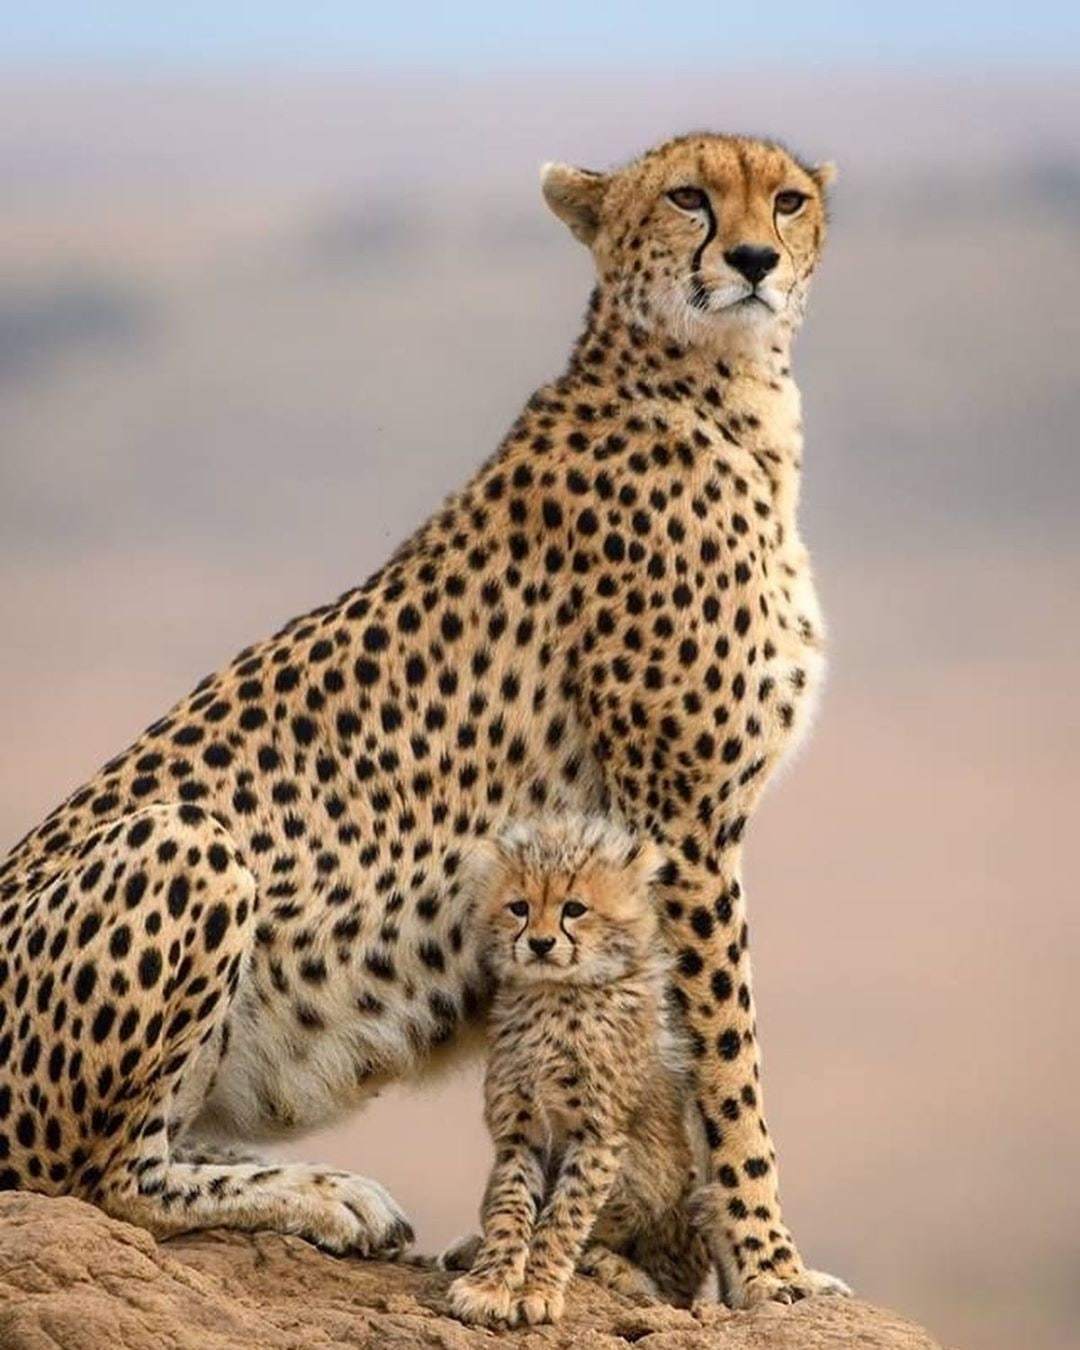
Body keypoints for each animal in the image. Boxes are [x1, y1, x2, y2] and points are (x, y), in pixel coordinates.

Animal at [0, 134, 842, 1306]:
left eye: (789, 200)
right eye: (688, 197)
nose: (755, 258)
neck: (722, 391)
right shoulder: (683, 824)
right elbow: (728, 1068)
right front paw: (770, 1270)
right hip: (190, 840)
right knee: (92, 1174)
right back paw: (323, 1194)